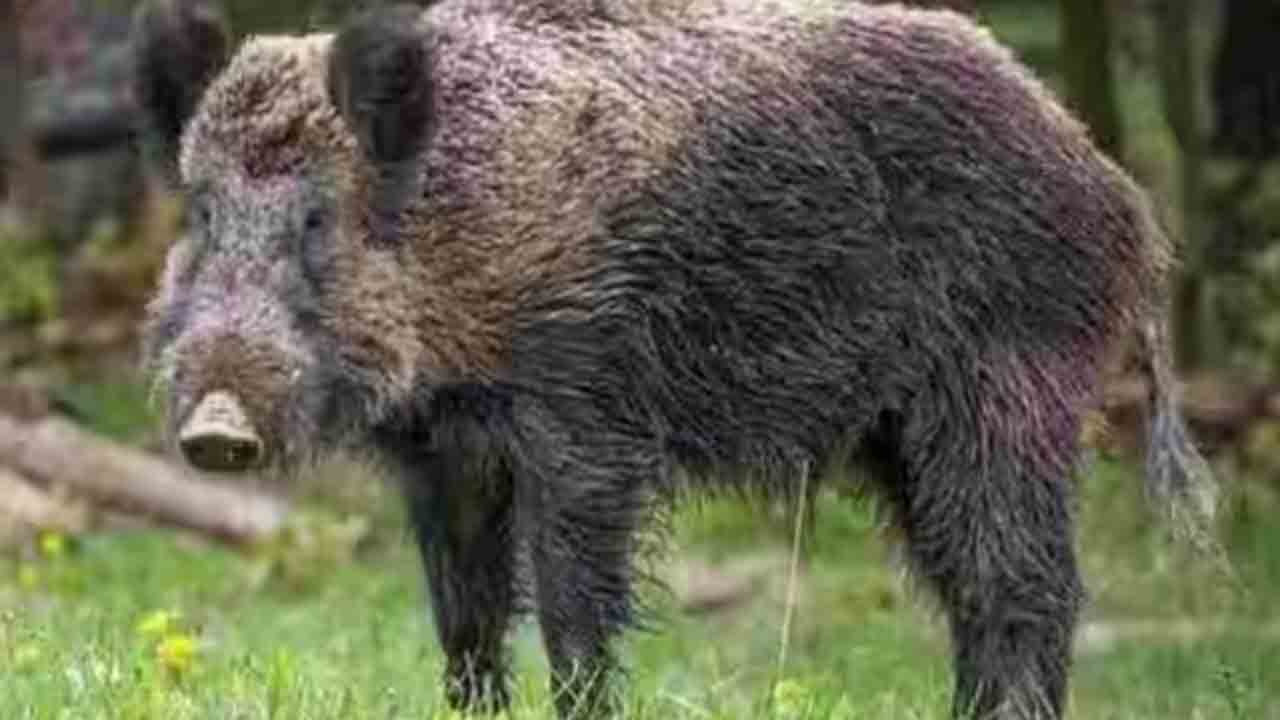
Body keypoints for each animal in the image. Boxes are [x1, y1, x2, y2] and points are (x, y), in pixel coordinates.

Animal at [131, 0, 1217, 717]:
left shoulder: (586, 416)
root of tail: (1116, 191)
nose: (216, 428)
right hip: (900, 434)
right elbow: (465, 619)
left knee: (1024, 588)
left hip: (1004, 386)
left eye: (319, 217)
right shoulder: (443, 456)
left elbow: (573, 611)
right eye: (202, 213)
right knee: (972, 592)